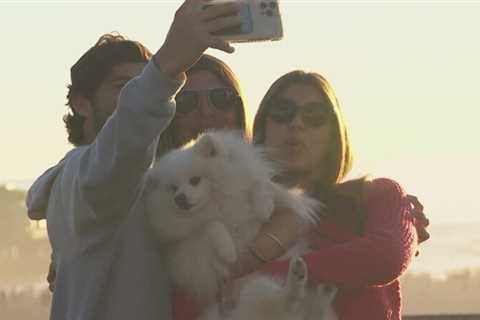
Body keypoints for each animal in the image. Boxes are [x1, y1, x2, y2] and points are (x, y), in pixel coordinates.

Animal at [144, 131, 336, 318]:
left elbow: (262, 184)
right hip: (255, 285)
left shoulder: (280, 196)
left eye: (195, 180)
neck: (218, 201)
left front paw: (263, 207)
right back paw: (307, 283)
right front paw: (227, 250)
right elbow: (211, 225)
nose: (179, 198)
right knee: (289, 303)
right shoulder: (185, 241)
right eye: (173, 189)